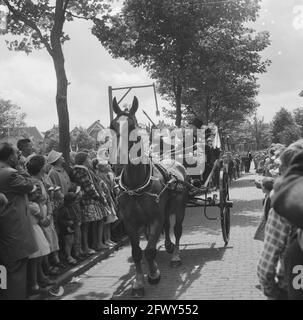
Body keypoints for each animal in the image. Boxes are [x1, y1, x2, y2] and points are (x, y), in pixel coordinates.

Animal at [110, 95, 189, 298]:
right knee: (167, 227)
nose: (118, 161)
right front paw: (138, 282)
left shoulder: (154, 219)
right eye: (112, 125)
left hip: (179, 207)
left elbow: (150, 250)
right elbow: (138, 252)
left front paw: (153, 274)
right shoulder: (130, 223)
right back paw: (168, 247)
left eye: (132, 126)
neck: (135, 186)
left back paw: (176, 256)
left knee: (177, 229)